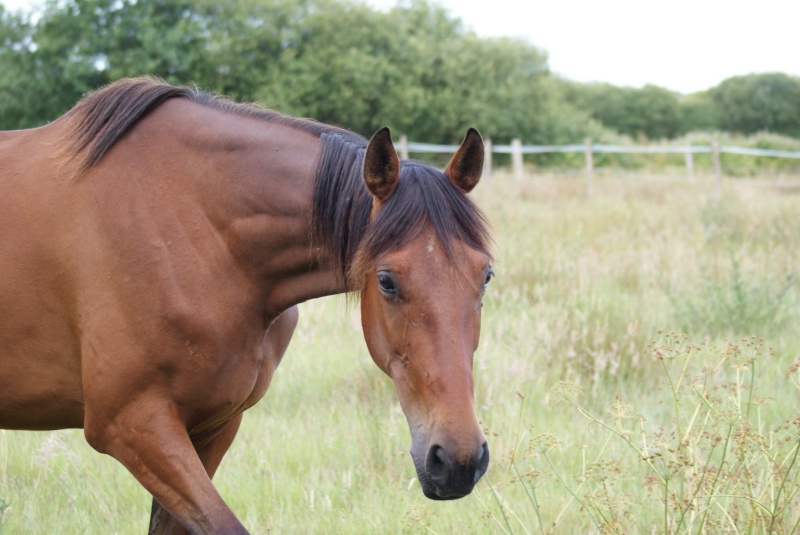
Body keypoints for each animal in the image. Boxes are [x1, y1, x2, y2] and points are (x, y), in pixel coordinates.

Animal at [0, 77, 494, 532]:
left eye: (485, 275)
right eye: (387, 282)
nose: (458, 460)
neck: (199, 232)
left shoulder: (212, 426)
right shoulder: (131, 424)